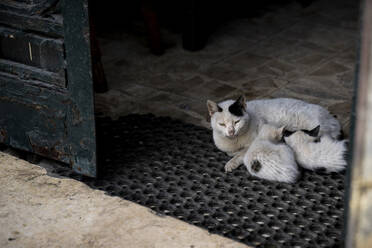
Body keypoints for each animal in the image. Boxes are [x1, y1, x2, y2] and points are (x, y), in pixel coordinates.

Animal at [208, 95, 342, 172]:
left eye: (237, 122)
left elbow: (240, 154)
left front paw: (231, 163)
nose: (231, 131)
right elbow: (231, 152)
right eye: (222, 124)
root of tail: (332, 118)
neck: (235, 141)